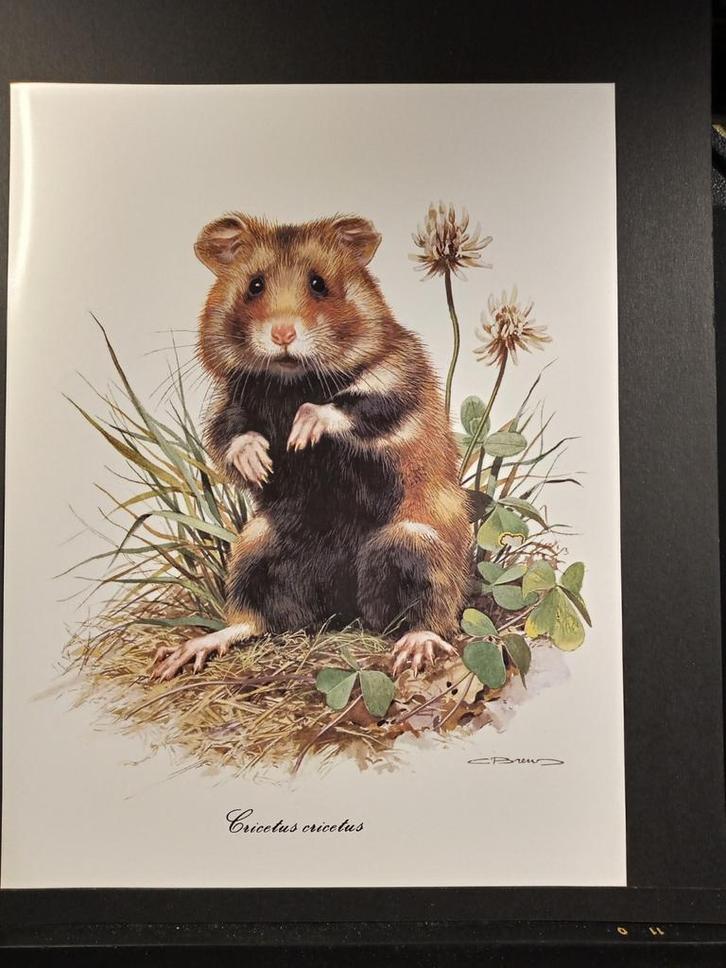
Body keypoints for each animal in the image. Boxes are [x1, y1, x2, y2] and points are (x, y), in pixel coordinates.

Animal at [152, 212, 472, 682]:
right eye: (255, 285)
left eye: (319, 284)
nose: (283, 333)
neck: (291, 379)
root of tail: (344, 612)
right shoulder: (230, 403)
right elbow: (229, 434)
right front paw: (260, 462)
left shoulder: (400, 379)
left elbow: (357, 404)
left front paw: (300, 433)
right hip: (257, 550)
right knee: (255, 618)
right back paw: (187, 651)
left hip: (417, 545)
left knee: (431, 614)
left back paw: (414, 647)